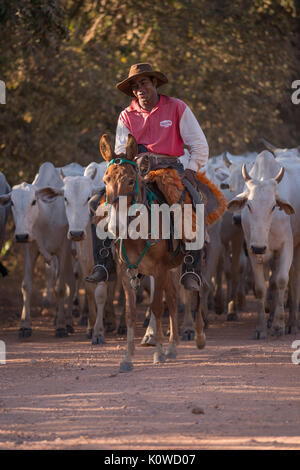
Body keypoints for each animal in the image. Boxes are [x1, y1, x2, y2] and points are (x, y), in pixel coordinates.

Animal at [98, 132, 206, 370]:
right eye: (105, 180)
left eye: (131, 180)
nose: (115, 226)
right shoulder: (126, 272)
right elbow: (130, 313)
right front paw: (127, 358)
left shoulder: (158, 270)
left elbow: (156, 308)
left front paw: (157, 353)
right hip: (171, 270)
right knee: (173, 299)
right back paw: (172, 347)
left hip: (190, 265)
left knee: (196, 292)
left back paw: (198, 338)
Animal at [227, 151, 300, 338]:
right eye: (248, 205)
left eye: (274, 206)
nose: (260, 247)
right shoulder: (252, 250)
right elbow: (261, 287)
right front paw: (260, 328)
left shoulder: (286, 246)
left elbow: (281, 280)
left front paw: (278, 326)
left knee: (293, 280)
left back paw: (292, 323)